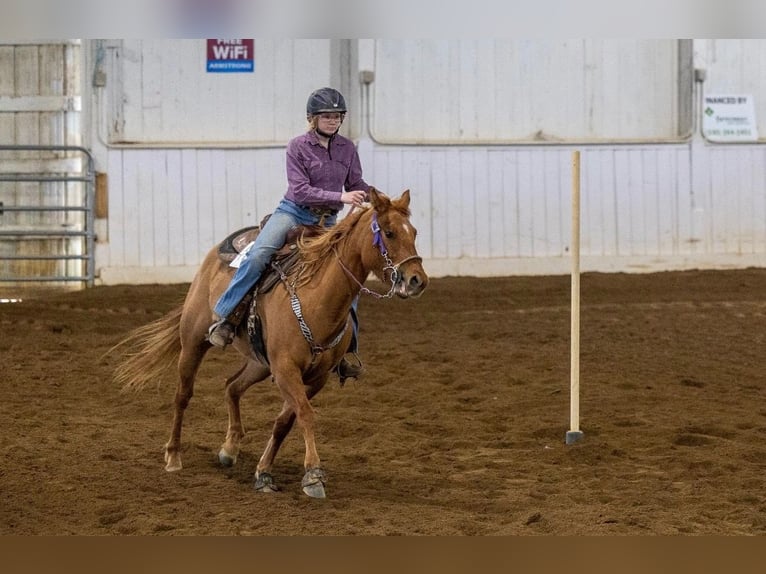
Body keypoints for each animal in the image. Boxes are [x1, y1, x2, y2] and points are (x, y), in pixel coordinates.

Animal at [113, 188, 428, 498]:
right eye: (389, 232)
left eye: (413, 232)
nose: (417, 281)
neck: (316, 299)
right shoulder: (287, 370)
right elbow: (305, 414)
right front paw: (313, 475)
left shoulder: (315, 377)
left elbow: (285, 421)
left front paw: (264, 471)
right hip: (193, 342)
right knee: (183, 395)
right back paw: (174, 456)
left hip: (260, 363)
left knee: (231, 386)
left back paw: (230, 448)